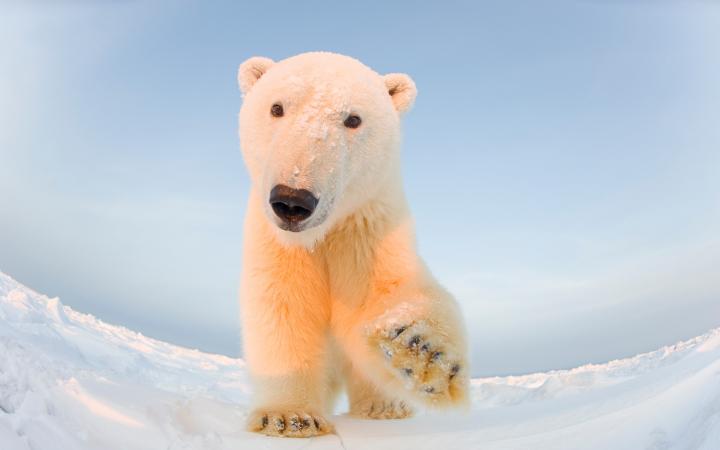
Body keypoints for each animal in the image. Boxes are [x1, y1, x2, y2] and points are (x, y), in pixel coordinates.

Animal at [239, 51, 470, 436]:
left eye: (353, 119)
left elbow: (384, 294)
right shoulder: (278, 245)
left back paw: (385, 407)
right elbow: (284, 310)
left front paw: (420, 350)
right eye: (276, 107)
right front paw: (289, 417)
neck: (323, 235)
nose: (292, 200)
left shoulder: (368, 230)